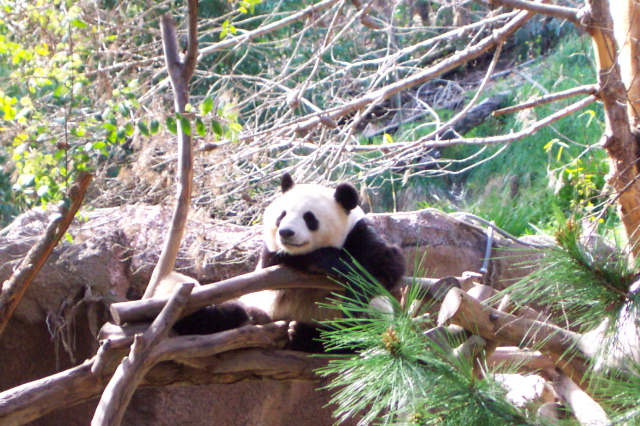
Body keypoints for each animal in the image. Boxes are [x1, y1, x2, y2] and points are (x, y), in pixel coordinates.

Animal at [162, 173, 408, 352]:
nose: (286, 232)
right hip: (260, 309)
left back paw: (306, 334)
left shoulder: (360, 233)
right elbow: (271, 267)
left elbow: (385, 267)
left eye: (309, 218)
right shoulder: (271, 258)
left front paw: (337, 270)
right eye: (282, 215)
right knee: (226, 312)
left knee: (357, 330)